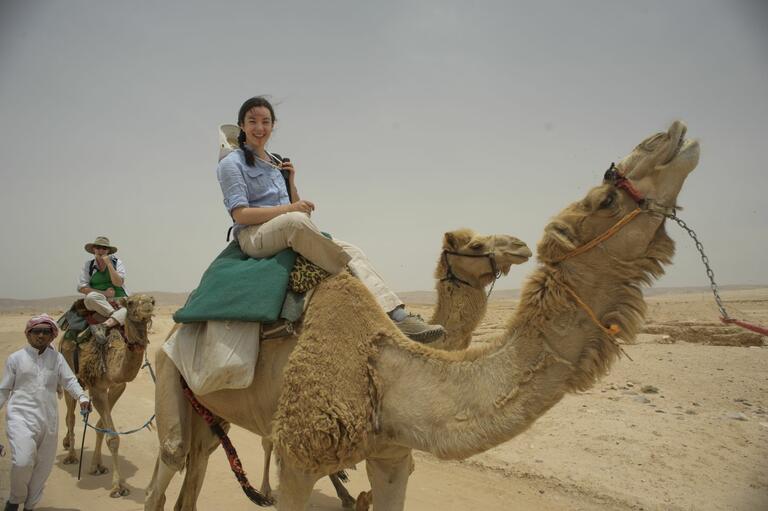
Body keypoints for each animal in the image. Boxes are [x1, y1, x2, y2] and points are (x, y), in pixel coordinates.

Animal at [59, 294, 155, 498]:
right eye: (130, 303)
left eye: (153, 301)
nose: (147, 308)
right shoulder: (97, 389)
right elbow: (112, 437)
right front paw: (118, 486)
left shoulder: (117, 386)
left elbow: (101, 427)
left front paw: (97, 466)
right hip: (68, 372)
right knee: (70, 417)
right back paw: (71, 456)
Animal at [146, 119, 699, 511]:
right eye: (605, 199)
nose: (670, 135)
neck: (389, 367)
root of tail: (176, 321)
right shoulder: (299, 458)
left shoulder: (392, 457)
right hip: (170, 365)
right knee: (167, 465)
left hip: (212, 414)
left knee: (193, 477)